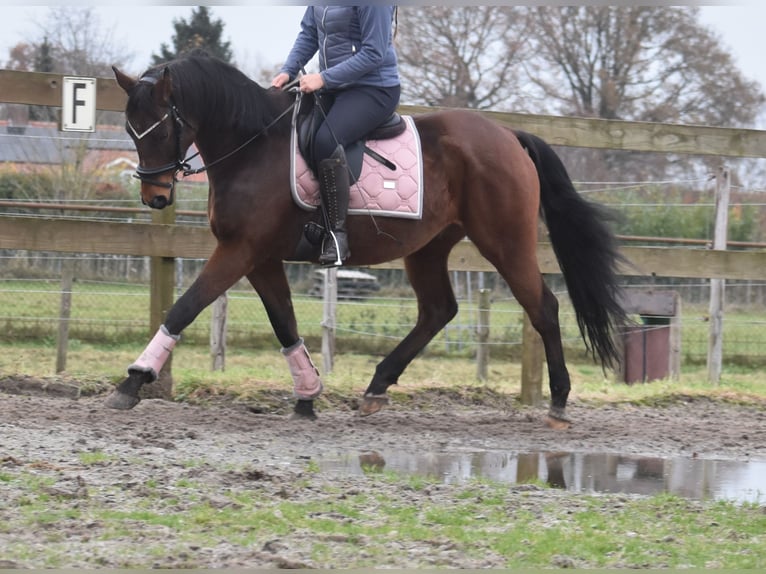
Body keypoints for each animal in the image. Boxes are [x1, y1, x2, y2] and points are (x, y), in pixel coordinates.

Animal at [108, 53, 628, 428]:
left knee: (543, 307)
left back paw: (558, 401)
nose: (155, 197)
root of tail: (507, 135)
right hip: (429, 247)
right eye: (132, 130)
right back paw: (377, 387)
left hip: (504, 240)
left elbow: (184, 308)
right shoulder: (261, 259)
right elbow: (285, 324)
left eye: (161, 127)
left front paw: (134, 381)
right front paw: (307, 396)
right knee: (438, 311)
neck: (252, 146)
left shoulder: (239, 252)